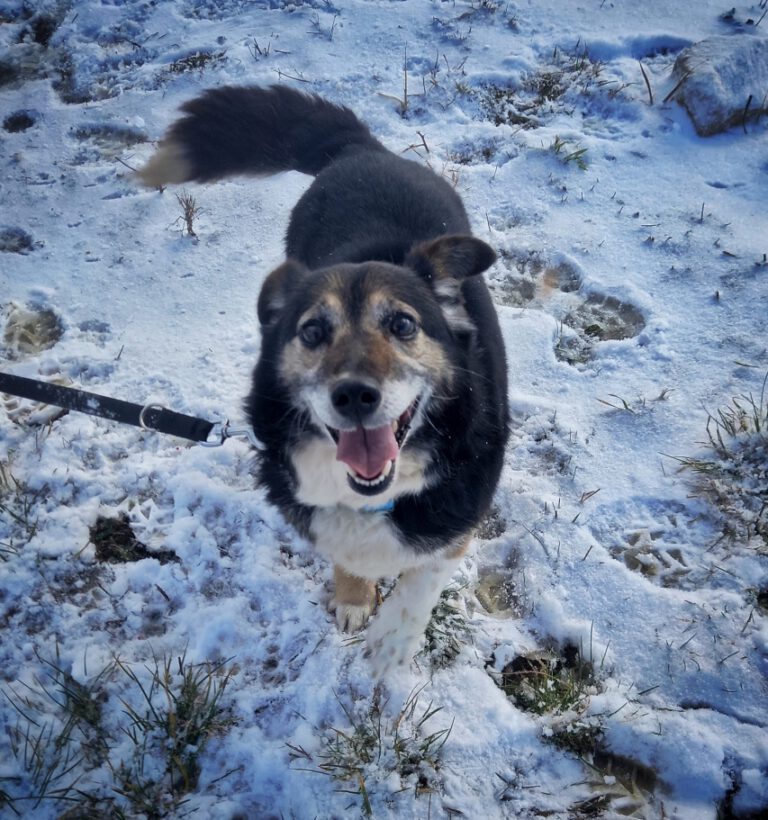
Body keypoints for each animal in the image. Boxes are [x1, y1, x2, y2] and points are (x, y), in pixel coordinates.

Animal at [138, 86, 510, 676]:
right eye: (312, 331)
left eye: (403, 324)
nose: (355, 396)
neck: (378, 494)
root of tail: (361, 149)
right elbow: (346, 555)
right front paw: (355, 598)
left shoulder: (458, 516)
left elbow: (423, 580)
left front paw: (393, 638)